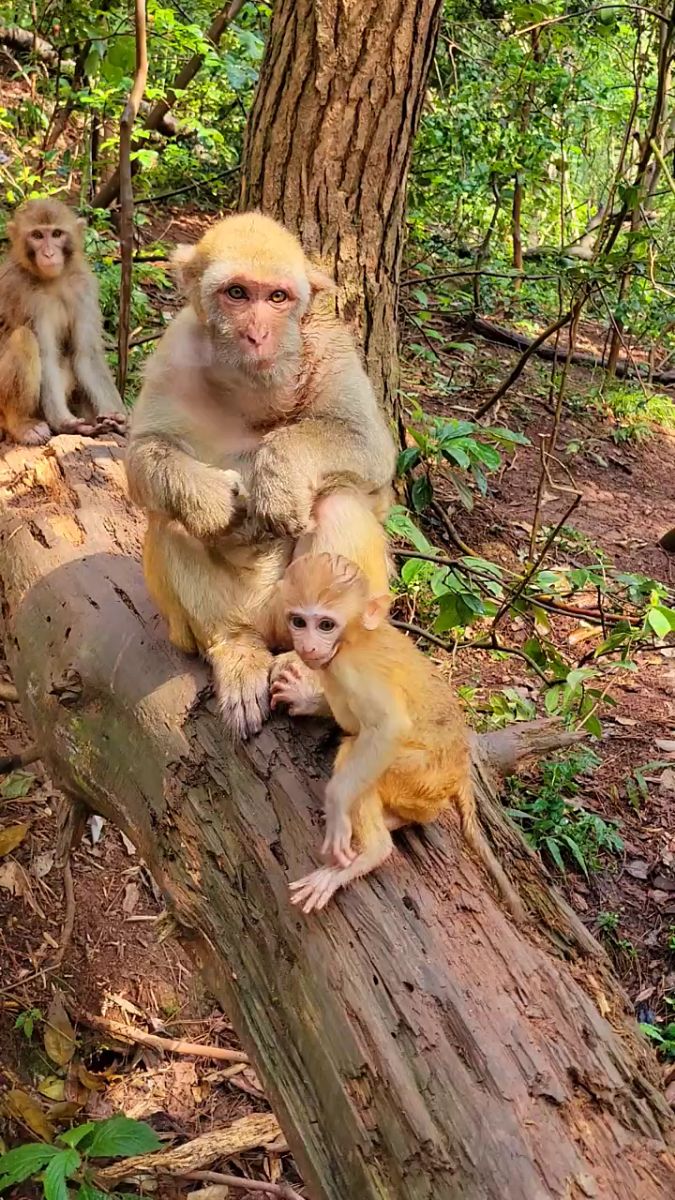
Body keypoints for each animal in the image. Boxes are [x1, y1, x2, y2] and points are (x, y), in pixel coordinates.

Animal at [0, 196, 126, 446]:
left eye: (57, 234)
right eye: (37, 236)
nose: (49, 254)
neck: (53, 281)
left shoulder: (84, 287)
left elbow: (85, 354)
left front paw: (118, 418)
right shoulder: (27, 296)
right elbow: (47, 355)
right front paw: (65, 423)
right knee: (24, 338)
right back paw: (20, 424)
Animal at [126, 211, 393, 734]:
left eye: (277, 298)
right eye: (237, 293)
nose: (257, 335)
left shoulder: (332, 344)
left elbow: (369, 448)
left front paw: (279, 473)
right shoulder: (174, 350)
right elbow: (144, 453)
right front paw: (209, 498)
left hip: (294, 615)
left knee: (338, 502)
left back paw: (310, 682)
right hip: (220, 620)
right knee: (170, 521)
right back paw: (235, 649)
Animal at [270, 552, 523, 916]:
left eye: (326, 625)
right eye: (298, 622)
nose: (307, 645)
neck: (351, 640)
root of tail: (462, 767)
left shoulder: (353, 669)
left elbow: (388, 727)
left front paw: (337, 803)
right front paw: (304, 699)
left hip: (423, 776)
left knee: (356, 751)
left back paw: (372, 850)